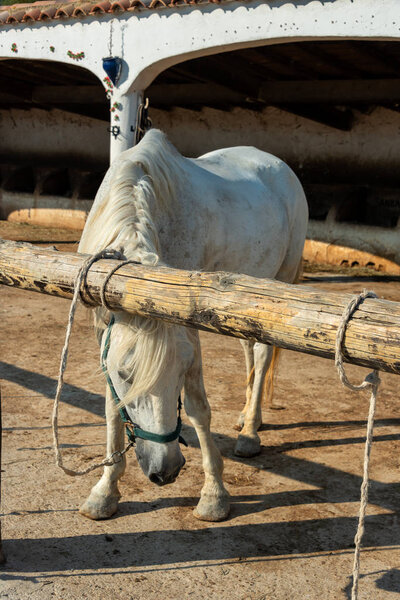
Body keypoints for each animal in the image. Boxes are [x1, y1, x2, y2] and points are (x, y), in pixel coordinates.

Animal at [79, 130, 310, 520]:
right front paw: (104, 492)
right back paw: (247, 417)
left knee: (263, 356)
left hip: (277, 287)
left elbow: (198, 408)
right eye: (126, 374)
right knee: (249, 352)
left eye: (181, 372)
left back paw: (250, 433)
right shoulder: (102, 330)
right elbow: (112, 408)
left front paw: (214, 495)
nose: (166, 470)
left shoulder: (186, 329)